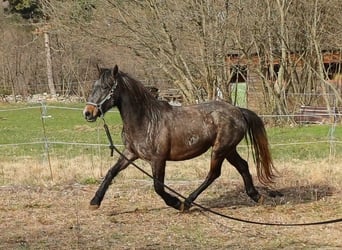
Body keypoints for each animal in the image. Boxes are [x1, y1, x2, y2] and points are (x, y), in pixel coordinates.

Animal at [84, 65, 276, 211]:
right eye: (94, 86)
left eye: (106, 87)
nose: (88, 113)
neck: (146, 120)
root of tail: (238, 110)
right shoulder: (130, 153)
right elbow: (111, 172)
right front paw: (95, 201)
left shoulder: (158, 159)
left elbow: (158, 187)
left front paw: (176, 203)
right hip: (228, 150)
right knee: (242, 166)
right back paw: (256, 196)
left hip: (220, 150)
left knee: (213, 174)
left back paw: (188, 202)